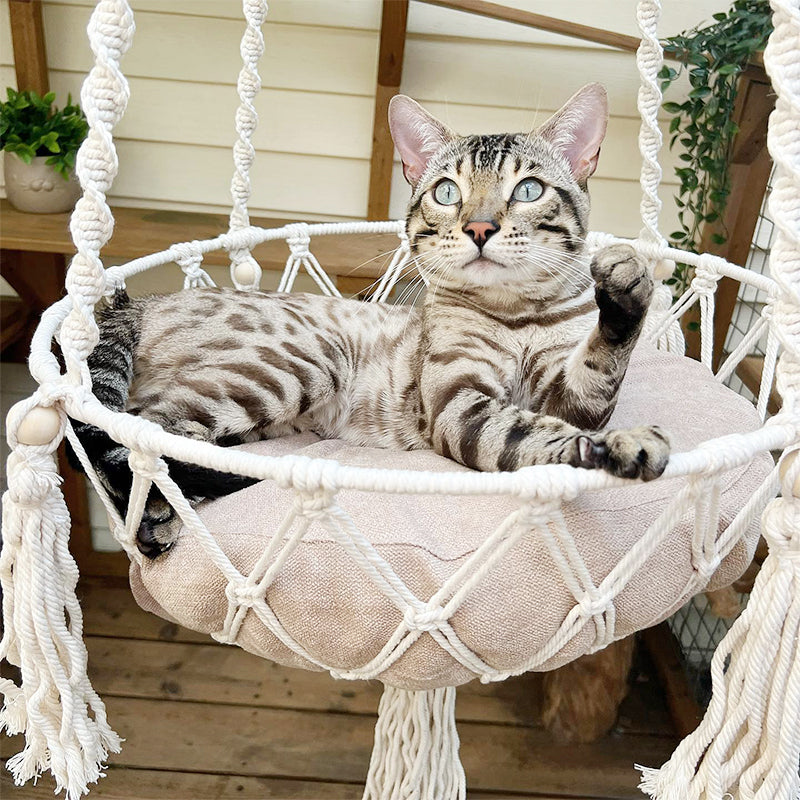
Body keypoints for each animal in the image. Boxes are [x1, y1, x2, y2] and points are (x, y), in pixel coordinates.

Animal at [73, 81, 668, 556]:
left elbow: (596, 372)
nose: (479, 228)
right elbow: (542, 438)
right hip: (300, 364)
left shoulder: (567, 394)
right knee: (145, 435)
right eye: (447, 192)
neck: (514, 313)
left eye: (528, 190)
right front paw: (621, 448)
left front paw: (626, 284)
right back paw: (160, 509)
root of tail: (143, 300)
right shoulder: (461, 404)